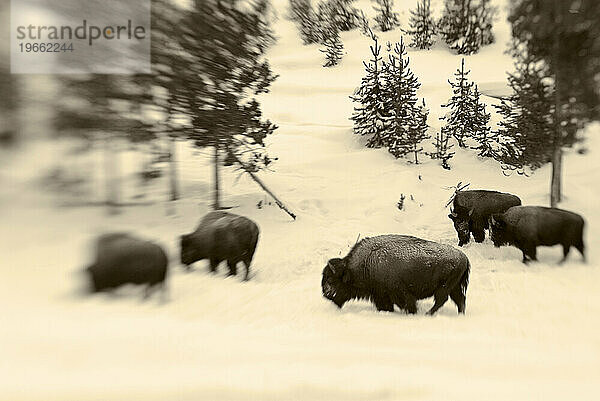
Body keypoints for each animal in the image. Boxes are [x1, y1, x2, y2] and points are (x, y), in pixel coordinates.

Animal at [322, 234, 472, 316]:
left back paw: (427, 314)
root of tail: (464, 257)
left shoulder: (398, 293)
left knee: (442, 300)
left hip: (445, 287)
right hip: (454, 287)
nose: (326, 294)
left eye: (331, 279)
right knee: (460, 300)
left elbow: (408, 304)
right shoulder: (380, 295)